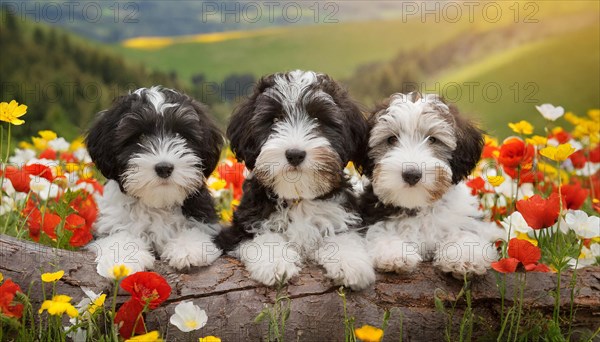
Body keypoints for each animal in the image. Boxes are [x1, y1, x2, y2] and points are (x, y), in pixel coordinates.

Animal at [85, 87, 223, 274]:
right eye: (140, 137)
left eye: (180, 135)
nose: (164, 167)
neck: (158, 204)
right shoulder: (109, 222)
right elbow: (118, 234)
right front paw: (123, 259)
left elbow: (195, 229)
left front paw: (188, 248)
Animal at [216, 71, 376, 290]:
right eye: (275, 120)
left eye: (317, 119)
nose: (294, 154)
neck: (298, 196)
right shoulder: (240, 227)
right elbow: (263, 236)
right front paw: (275, 264)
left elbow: (344, 235)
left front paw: (351, 263)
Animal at [360, 92, 502, 276]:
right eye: (391, 139)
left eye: (433, 139)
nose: (411, 174)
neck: (419, 205)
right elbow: (380, 232)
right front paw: (394, 253)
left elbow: (464, 232)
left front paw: (464, 255)